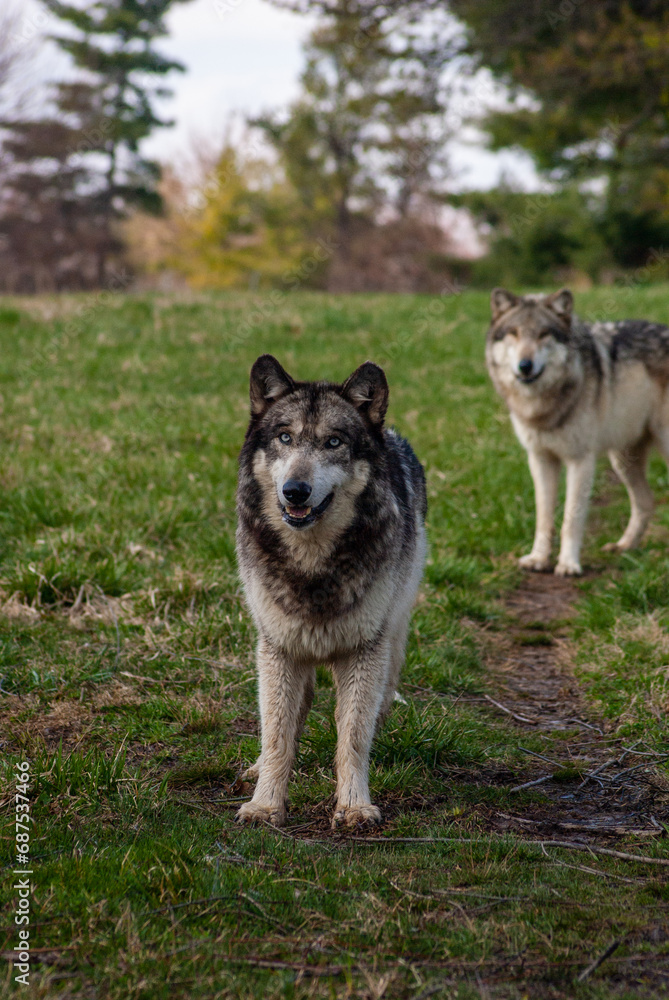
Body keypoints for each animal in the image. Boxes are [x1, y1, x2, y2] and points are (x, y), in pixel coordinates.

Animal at [232, 354, 426, 828]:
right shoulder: (278, 648)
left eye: (334, 442)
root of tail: (391, 433)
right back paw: (256, 769)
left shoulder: (364, 651)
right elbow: (277, 735)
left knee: (376, 706)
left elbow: (352, 735)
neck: (313, 566)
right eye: (285, 437)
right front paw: (266, 804)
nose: (295, 491)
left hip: (393, 639)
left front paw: (354, 805)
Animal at [482, 286, 668, 576]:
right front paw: (538, 559)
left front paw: (568, 564)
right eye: (514, 333)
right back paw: (624, 546)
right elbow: (543, 517)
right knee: (646, 502)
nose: (525, 365)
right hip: (622, 460)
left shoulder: (580, 461)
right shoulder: (540, 460)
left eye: (543, 334)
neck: (544, 407)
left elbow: (572, 518)